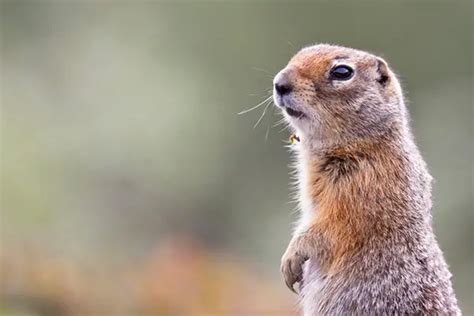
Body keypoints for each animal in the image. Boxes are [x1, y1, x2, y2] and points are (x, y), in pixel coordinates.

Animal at [274, 44, 460, 316]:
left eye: (342, 71)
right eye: (298, 54)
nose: (279, 83)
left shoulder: (364, 188)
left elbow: (332, 226)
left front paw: (291, 257)